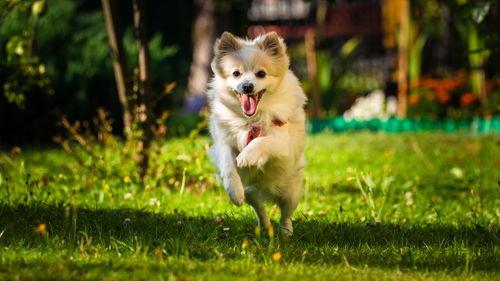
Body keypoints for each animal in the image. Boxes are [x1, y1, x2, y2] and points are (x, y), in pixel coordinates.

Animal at [205, 31, 306, 235]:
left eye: (261, 74)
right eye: (236, 73)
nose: (247, 86)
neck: (251, 120)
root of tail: (268, 190)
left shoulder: (283, 143)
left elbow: (261, 142)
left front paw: (247, 156)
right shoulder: (224, 142)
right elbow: (228, 165)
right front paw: (233, 192)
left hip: (291, 193)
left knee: (285, 215)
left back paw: (286, 233)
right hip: (251, 193)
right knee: (260, 208)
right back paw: (265, 227)